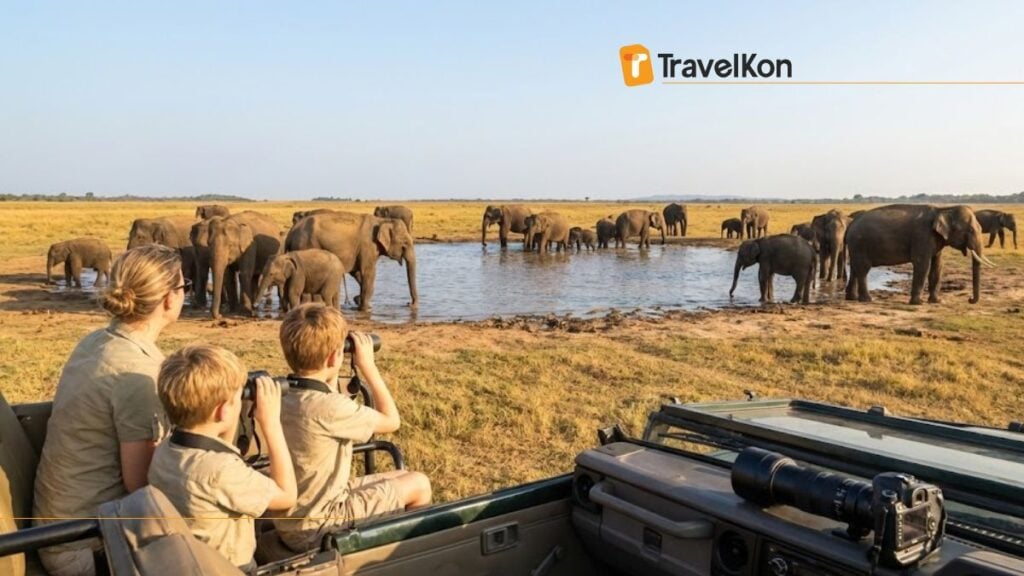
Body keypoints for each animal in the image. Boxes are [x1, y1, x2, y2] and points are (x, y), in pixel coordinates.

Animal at [286, 212, 417, 312]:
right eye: (405, 243)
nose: (408, 304)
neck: (383, 221)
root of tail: (291, 232)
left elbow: (358, 273)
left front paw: (359, 301)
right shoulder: (367, 246)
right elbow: (368, 273)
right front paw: (364, 308)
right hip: (306, 244)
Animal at [844, 204, 994, 305]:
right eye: (970, 230)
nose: (969, 299)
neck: (943, 210)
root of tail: (850, 225)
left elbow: (937, 266)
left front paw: (937, 301)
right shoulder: (922, 237)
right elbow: (922, 264)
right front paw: (918, 303)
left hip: (856, 246)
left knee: (855, 268)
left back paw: (852, 298)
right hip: (860, 244)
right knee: (863, 270)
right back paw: (868, 300)